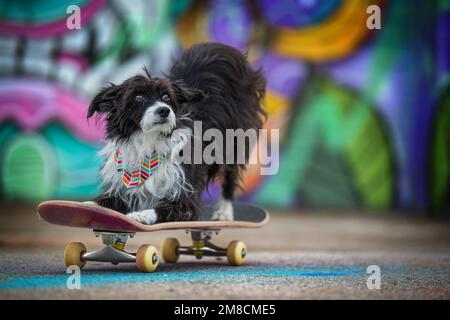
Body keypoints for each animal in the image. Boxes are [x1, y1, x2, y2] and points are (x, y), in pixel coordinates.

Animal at [86, 42, 266, 225]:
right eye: (138, 97)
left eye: (166, 96)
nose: (164, 110)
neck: (149, 141)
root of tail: (222, 48)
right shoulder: (123, 188)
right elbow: (106, 200)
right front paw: (90, 205)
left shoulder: (186, 199)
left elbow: (162, 208)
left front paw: (141, 214)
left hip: (235, 142)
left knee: (230, 177)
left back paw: (224, 211)